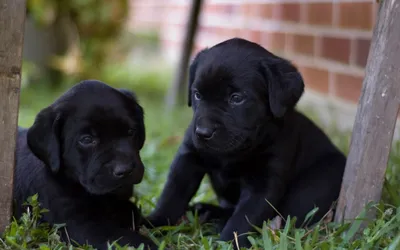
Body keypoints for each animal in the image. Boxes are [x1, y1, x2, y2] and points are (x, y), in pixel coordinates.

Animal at [147, 37, 346, 248]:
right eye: (197, 94)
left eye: (236, 98)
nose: (202, 132)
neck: (232, 153)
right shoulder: (188, 158)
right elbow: (172, 195)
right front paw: (152, 223)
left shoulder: (263, 183)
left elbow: (243, 218)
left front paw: (227, 243)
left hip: (315, 185)